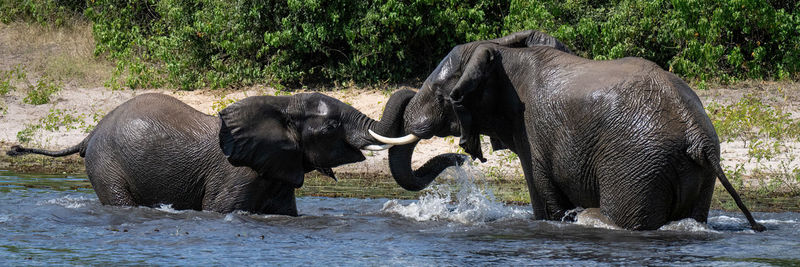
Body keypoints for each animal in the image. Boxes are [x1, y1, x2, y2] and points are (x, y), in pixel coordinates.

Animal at [4, 92, 438, 216]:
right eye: (332, 127)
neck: (283, 104)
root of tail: (89, 132)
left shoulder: (276, 167)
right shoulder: (235, 172)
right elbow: (220, 208)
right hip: (106, 164)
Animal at [372, 30, 764, 232]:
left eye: (443, 95)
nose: (461, 159)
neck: (500, 52)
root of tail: (696, 133)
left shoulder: (531, 131)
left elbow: (544, 202)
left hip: (638, 165)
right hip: (692, 172)